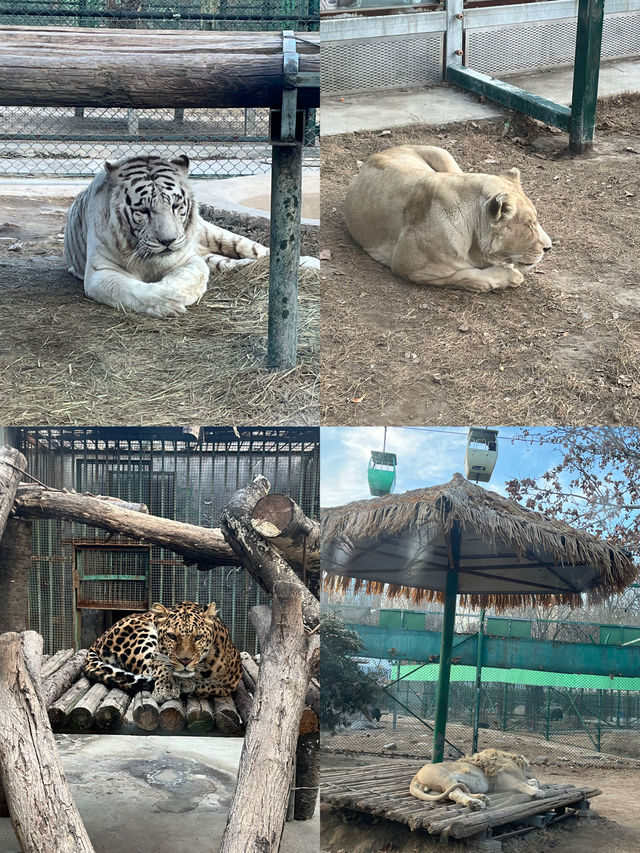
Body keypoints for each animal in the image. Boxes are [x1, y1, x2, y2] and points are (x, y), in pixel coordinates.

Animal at [65, 153, 320, 316]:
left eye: (176, 205)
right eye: (143, 211)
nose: (167, 241)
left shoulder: (189, 260)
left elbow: (186, 279)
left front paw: (178, 295)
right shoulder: (100, 272)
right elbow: (128, 290)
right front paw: (166, 302)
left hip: (217, 235)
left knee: (259, 250)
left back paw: (311, 262)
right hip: (215, 259)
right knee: (237, 263)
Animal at [342, 146, 552, 292]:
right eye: (529, 225)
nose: (548, 248)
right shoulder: (409, 266)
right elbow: (473, 278)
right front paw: (511, 276)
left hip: (445, 157)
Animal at [410, 748, 544, 808]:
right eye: (530, 768)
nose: (537, 777)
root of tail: (415, 777)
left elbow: (527, 782)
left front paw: (534, 783)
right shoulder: (503, 779)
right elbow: (522, 784)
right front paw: (536, 791)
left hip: (438, 789)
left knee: (453, 793)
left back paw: (482, 798)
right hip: (445, 777)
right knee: (454, 794)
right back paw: (475, 803)